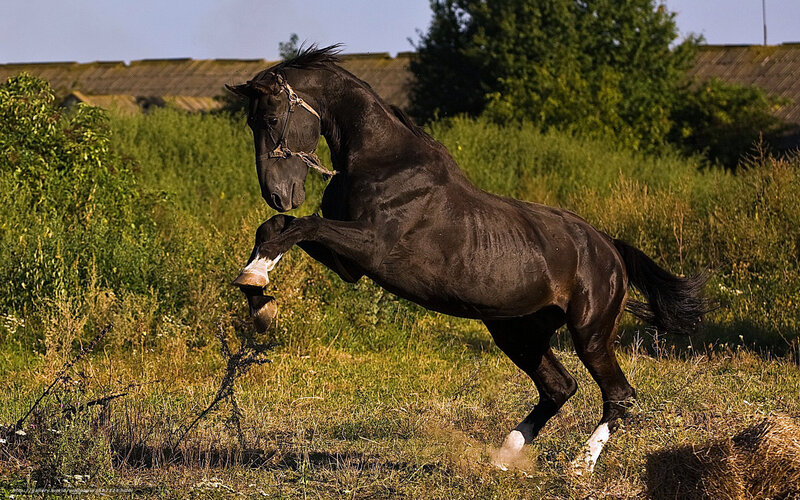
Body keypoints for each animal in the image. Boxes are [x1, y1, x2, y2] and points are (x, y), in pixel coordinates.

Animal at [226, 45, 711, 472]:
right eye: (250, 122)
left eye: (271, 118)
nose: (278, 193)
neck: (381, 160)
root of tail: (610, 249)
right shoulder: (351, 266)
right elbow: (277, 228)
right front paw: (258, 295)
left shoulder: (372, 247)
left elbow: (301, 226)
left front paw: (257, 286)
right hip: (517, 332)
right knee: (559, 387)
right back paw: (504, 456)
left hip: (589, 333)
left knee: (619, 395)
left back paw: (579, 466)